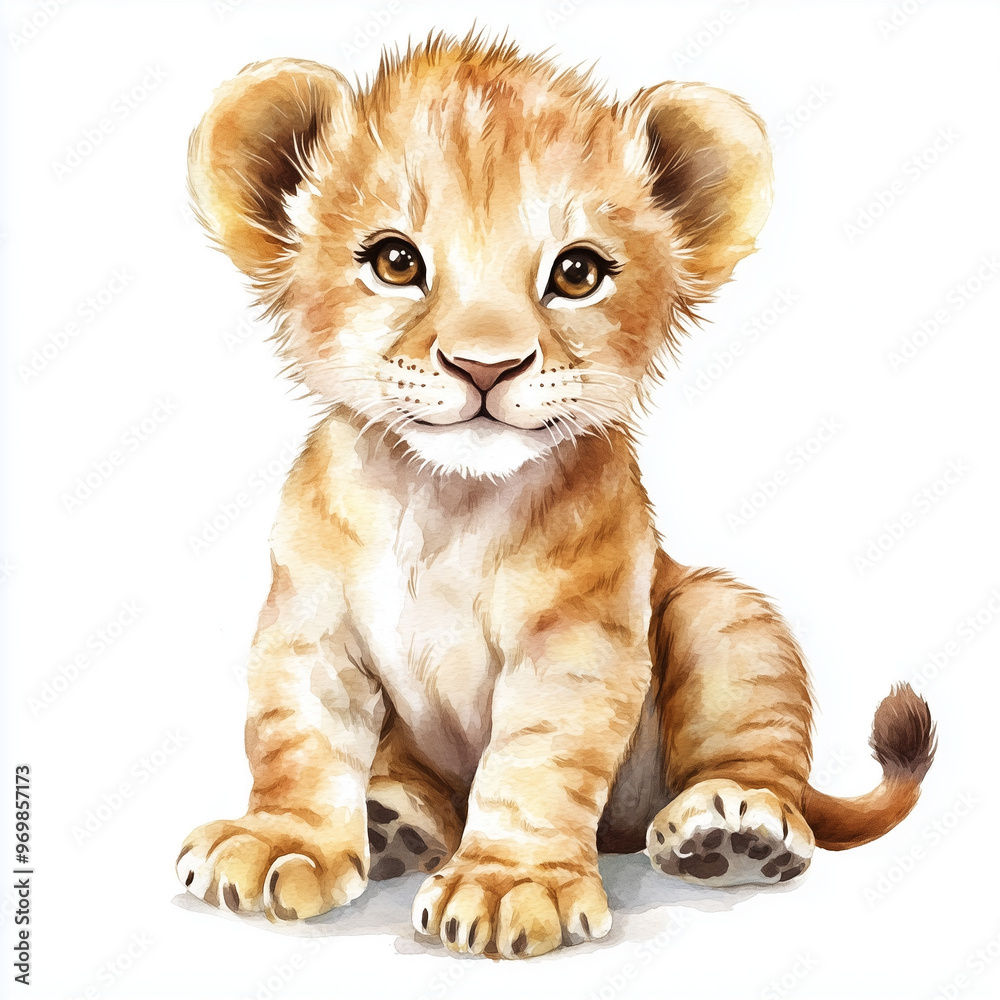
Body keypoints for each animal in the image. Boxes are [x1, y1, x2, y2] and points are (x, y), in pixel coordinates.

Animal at [176, 33, 935, 959]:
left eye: (577, 272)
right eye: (395, 260)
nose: (486, 366)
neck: (446, 504)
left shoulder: (578, 639)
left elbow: (537, 760)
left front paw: (510, 885)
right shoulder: (310, 625)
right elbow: (297, 737)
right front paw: (280, 843)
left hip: (722, 615)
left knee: (762, 764)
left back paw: (735, 832)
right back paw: (392, 821)